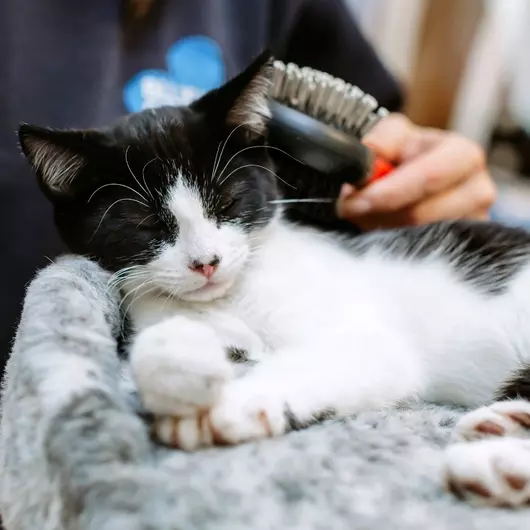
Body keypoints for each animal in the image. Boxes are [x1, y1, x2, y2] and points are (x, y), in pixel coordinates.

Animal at [19, 51, 530, 506]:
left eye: (226, 202)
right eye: (147, 225)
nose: (206, 262)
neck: (229, 299)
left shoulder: (370, 342)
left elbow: (327, 358)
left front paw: (234, 404)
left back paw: (493, 461)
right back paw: (500, 437)